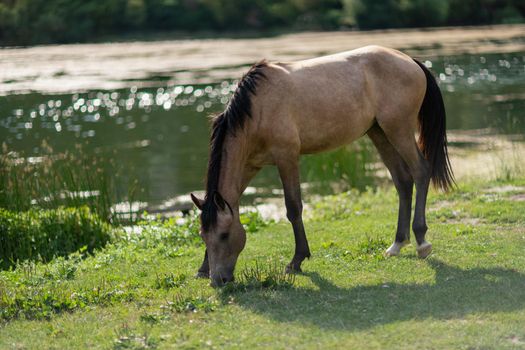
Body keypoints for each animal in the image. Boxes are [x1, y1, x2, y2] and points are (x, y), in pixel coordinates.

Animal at [190, 45, 452, 288]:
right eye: (203, 235)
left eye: (225, 235)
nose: (218, 280)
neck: (257, 109)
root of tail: (409, 60)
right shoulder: (250, 166)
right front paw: (202, 268)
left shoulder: (287, 158)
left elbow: (293, 208)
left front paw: (297, 260)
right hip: (380, 133)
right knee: (403, 180)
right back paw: (397, 243)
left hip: (399, 130)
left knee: (421, 171)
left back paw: (421, 241)